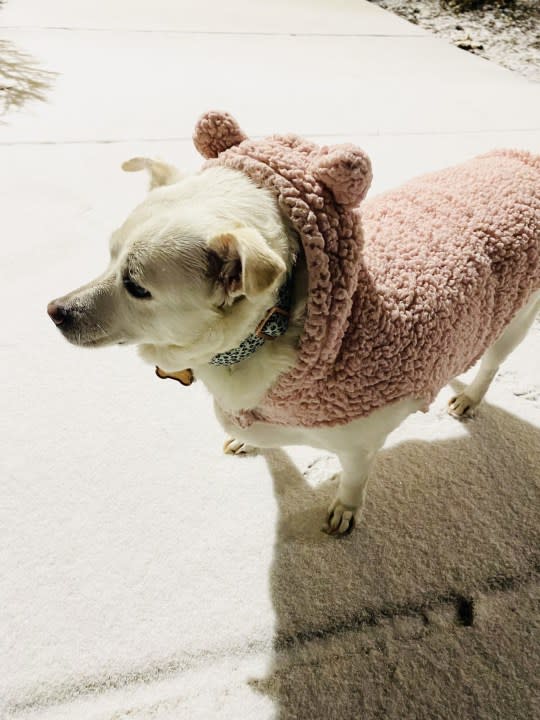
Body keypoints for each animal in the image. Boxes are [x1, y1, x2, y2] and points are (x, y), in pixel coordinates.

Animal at [48, 111, 536, 536]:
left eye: (136, 286)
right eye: (110, 255)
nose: (54, 311)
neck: (267, 332)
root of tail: (525, 161)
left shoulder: (359, 445)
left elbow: (354, 479)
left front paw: (346, 510)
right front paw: (248, 443)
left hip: (517, 318)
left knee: (492, 362)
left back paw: (470, 397)